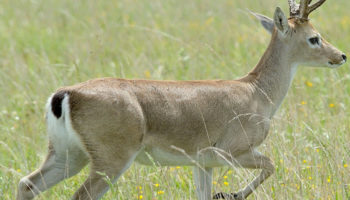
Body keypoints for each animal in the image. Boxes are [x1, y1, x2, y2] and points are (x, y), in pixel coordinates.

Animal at [17, 0, 344, 200]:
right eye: (314, 37)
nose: (340, 55)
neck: (255, 90)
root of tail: (66, 94)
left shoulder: (202, 164)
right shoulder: (231, 153)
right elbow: (271, 165)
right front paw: (230, 194)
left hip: (68, 156)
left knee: (27, 183)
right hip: (110, 162)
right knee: (80, 194)